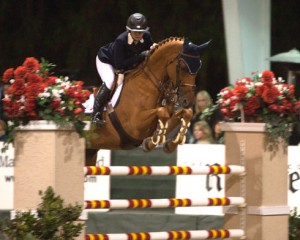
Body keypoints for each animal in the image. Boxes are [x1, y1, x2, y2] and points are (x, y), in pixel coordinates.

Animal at [85, 36, 210, 165]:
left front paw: (168, 145)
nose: (188, 101)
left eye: (199, 67)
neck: (148, 85)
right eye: (183, 67)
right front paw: (151, 142)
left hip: (90, 152)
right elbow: (162, 112)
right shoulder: (135, 126)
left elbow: (185, 113)